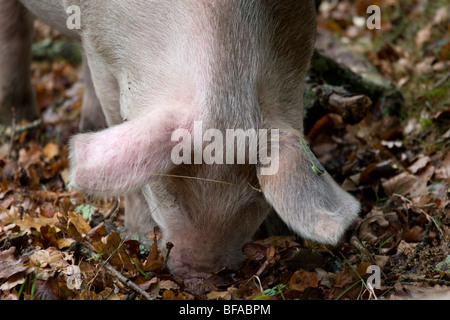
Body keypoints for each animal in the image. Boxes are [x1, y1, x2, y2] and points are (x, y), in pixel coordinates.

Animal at [0, 0, 358, 278]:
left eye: (255, 201)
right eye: (169, 192)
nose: (200, 277)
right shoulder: (98, 44)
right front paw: (138, 234)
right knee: (15, 35)